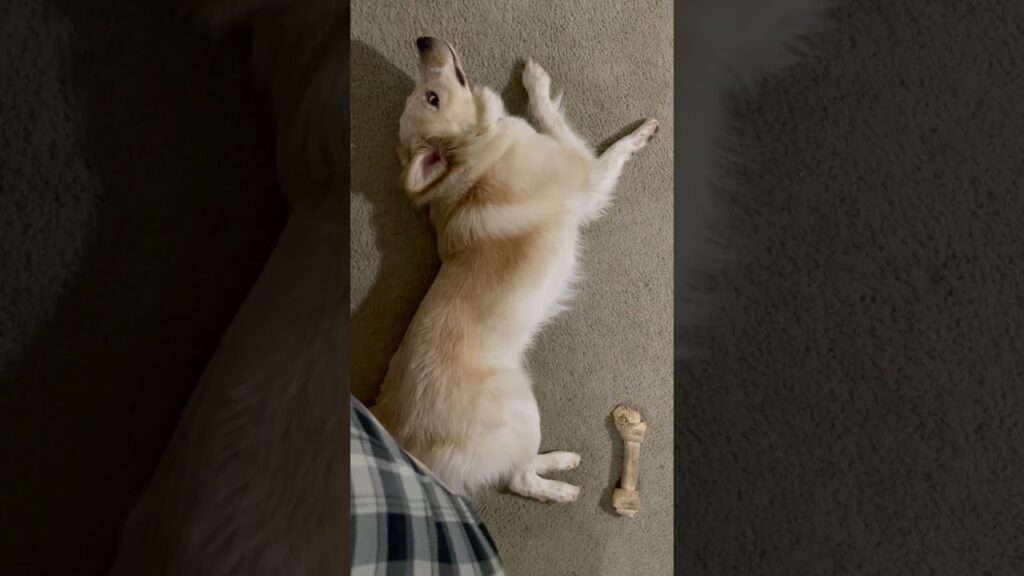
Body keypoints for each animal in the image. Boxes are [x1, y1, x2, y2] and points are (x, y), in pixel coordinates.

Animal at [372, 36, 659, 502]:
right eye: (432, 97)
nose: (423, 41)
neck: (476, 163)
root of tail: (407, 450)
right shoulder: (586, 169)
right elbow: (580, 132)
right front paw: (638, 132)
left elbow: (549, 116)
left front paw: (532, 81)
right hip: (522, 408)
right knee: (520, 479)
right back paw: (561, 487)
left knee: (514, 469)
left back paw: (561, 459)